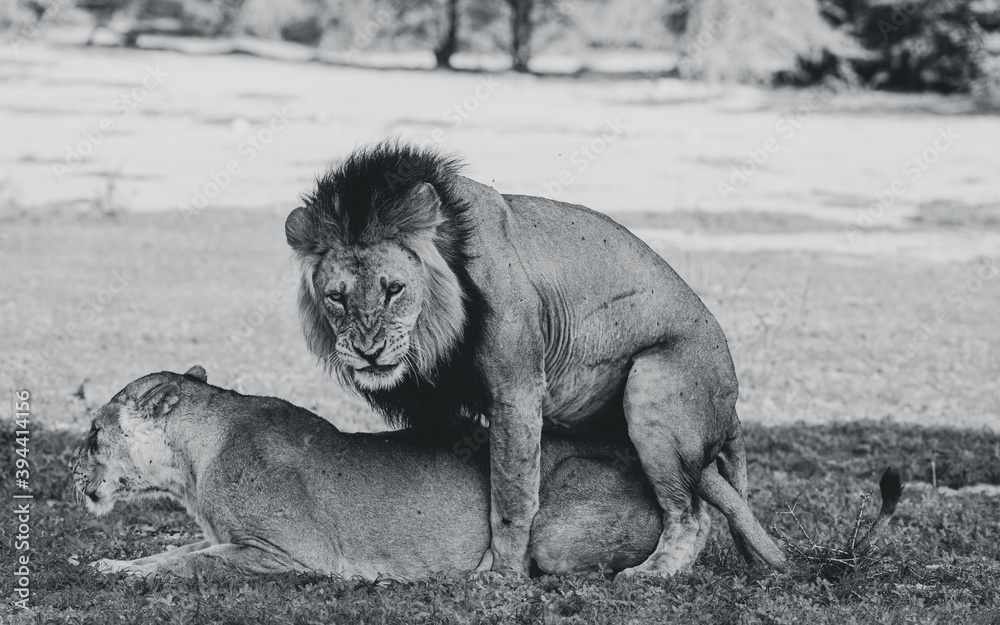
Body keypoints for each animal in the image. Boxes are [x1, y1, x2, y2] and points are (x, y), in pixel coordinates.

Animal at [70, 366, 894, 580]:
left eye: (93, 432)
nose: (73, 470)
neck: (196, 456)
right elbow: (180, 546)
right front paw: (113, 560)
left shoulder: (281, 556)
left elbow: (184, 558)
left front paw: (118, 569)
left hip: (553, 533)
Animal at [285, 141, 766, 575]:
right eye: (336, 297)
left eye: (394, 289)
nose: (368, 351)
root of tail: (733, 403)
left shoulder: (517, 391)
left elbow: (512, 496)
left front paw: (503, 574)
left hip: (652, 387)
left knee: (692, 514)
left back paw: (651, 573)